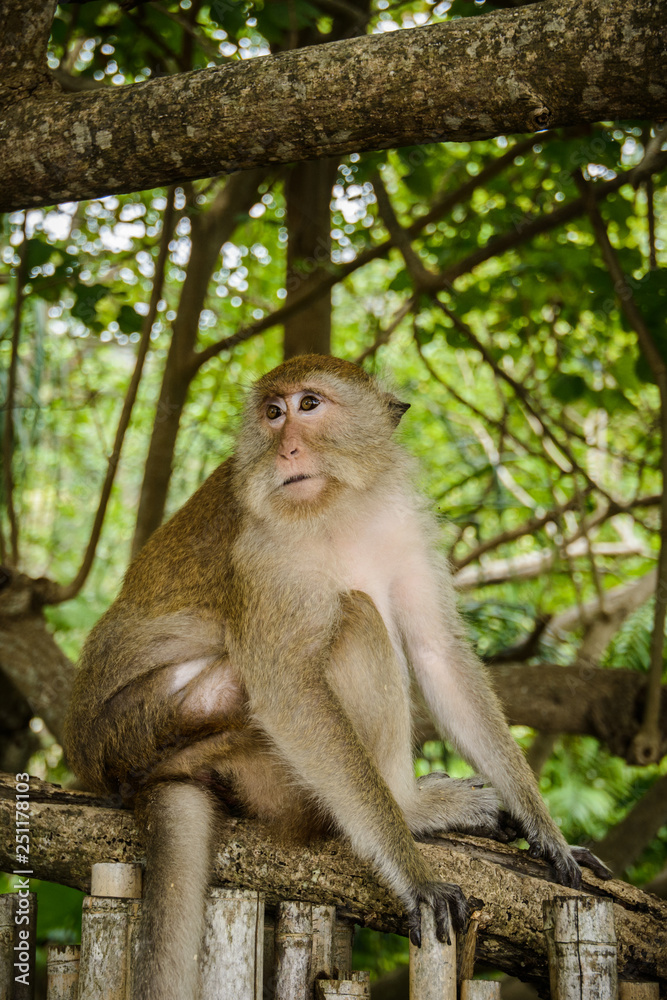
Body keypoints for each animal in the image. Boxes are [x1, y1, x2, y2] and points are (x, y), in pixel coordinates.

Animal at [64, 354, 610, 1000]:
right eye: (272, 413)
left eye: (309, 406)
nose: (287, 450)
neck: (339, 509)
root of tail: (121, 775)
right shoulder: (265, 552)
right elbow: (289, 689)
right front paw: (412, 873)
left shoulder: (402, 522)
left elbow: (438, 653)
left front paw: (549, 833)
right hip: (213, 743)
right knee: (356, 618)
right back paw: (410, 811)